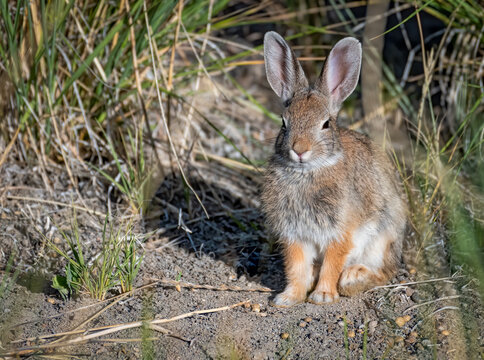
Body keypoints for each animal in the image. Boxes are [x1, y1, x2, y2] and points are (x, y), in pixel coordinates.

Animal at [262, 31, 406, 306]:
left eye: (326, 124)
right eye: (284, 123)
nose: (299, 149)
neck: (306, 172)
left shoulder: (340, 232)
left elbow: (332, 263)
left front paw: (323, 296)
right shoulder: (294, 234)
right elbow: (296, 267)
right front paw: (288, 298)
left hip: (383, 237)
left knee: (385, 271)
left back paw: (353, 276)